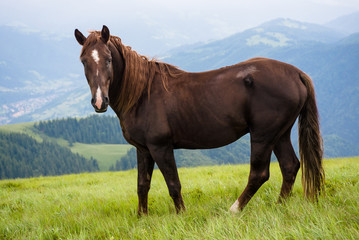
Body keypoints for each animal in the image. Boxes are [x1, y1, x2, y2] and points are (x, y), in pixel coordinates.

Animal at [74, 25, 324, 215]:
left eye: (108, 60)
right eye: (84, 61)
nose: (99, 102)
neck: (142, 93)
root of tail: (296, 73)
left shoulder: (160, 147)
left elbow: (173, 184)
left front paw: (181, 215)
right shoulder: (143, 149)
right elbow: (142, 185)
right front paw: (141, 217)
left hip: (263, 135)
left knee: (259, 174)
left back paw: (234, 210)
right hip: (279, 134)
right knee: (290, 166)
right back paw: (280, 206)